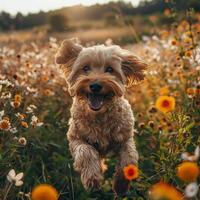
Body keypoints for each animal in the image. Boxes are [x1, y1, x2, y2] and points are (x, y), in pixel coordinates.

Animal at [54, 38, 147, 196]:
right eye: (85, 68)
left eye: (110, 69)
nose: (95, 85)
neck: (99, 116)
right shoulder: (75, 139)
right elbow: (86, 152)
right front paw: (92, 178)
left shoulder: (125, 139)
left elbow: (129, 160)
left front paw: (121, 185)